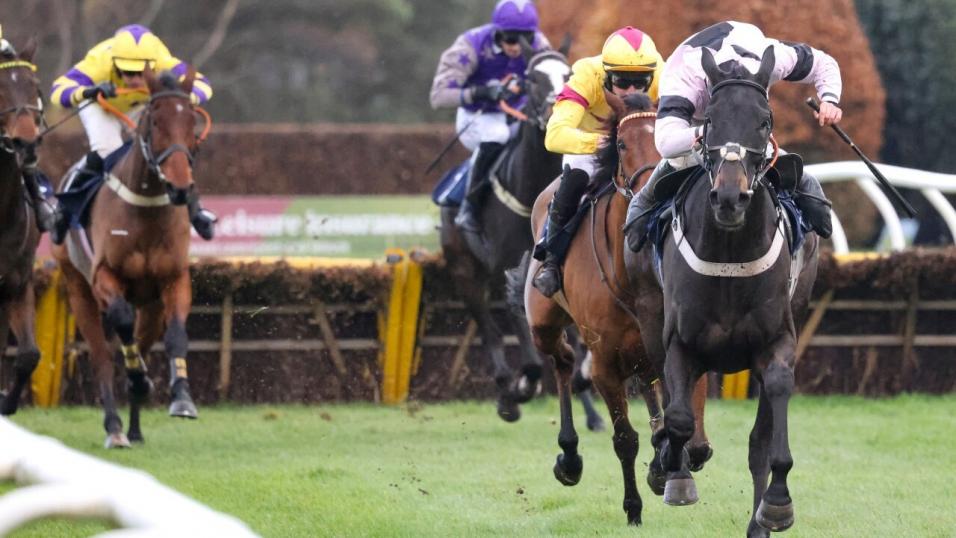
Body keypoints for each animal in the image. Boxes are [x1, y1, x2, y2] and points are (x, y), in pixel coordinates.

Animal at [52, 68, 210, 448]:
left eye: (192, 122)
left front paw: (182, 398)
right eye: (154, 121)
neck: (146, 209)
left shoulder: (173, 279)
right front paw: (138, 380)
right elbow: (122, 325)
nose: (180, 188)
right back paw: (115, 428)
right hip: (78, 289)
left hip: (150, 306)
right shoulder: (104, 277)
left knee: (142, 341)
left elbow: (176, 335)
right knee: (102, 357)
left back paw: (135, 427)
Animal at [440, 41, 603, 428]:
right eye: (531, 79)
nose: (555, 108)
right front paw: (523, 385)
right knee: (489, 329)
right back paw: (507, 395)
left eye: (568, 73)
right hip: (465, 270)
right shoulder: (509, 269)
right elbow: (524, 346)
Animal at [524, 92, 712, 526]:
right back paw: (569, 457)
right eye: (622, 144)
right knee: (563, 361)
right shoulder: (605, 362)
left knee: (646, 384)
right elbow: (625, 439)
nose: (651, 190)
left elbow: (689, 435)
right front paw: (634, 509)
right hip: (543, 322)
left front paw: (667, 466)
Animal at [630, 47, 819, 536]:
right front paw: (672, 472)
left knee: (758, 439)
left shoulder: (778, 340)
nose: (731, 199)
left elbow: (770, 424)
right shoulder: (680, 341)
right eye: (710, 120)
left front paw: (777, 504)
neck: (731, 252)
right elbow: (678, 417)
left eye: (765, 121)